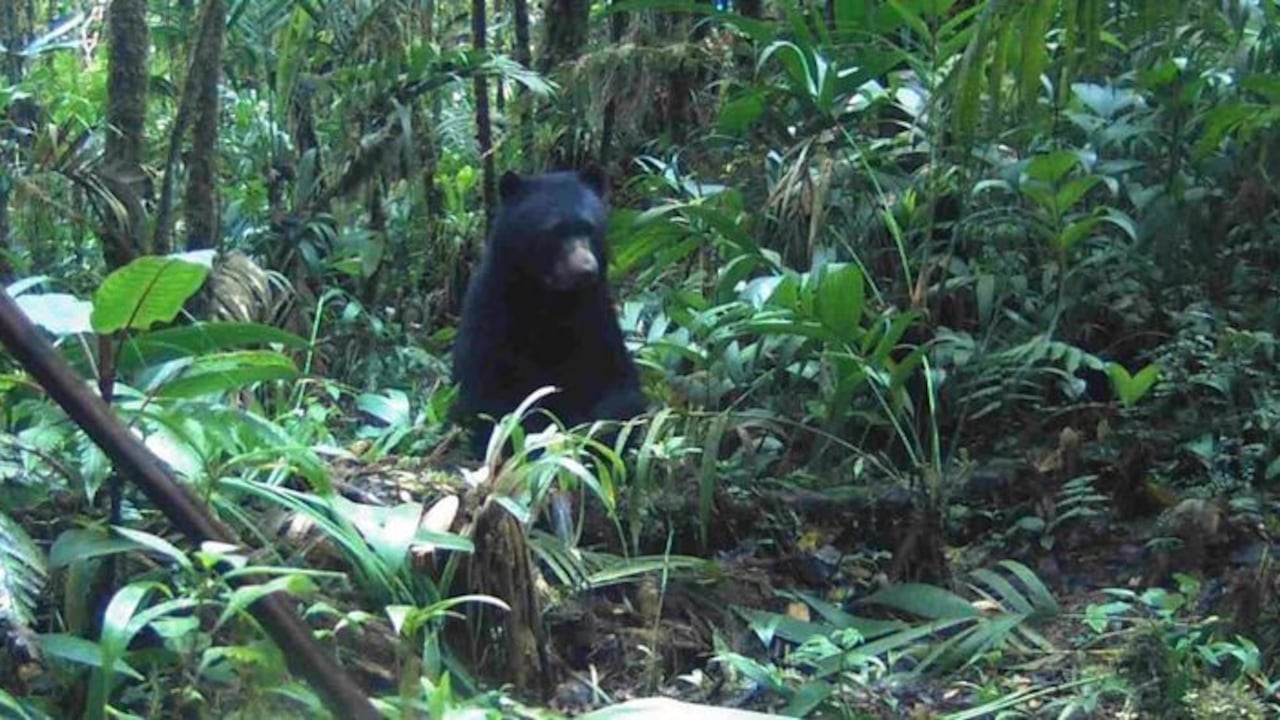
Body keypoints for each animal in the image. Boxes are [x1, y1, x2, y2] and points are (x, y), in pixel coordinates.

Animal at [451, 168, 647, 457]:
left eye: (589, 228)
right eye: (555, 231)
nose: (586, 270)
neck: (552, 300)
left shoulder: (596, 316)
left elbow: (622, 390)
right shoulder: (492, 313)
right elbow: (489, 400)